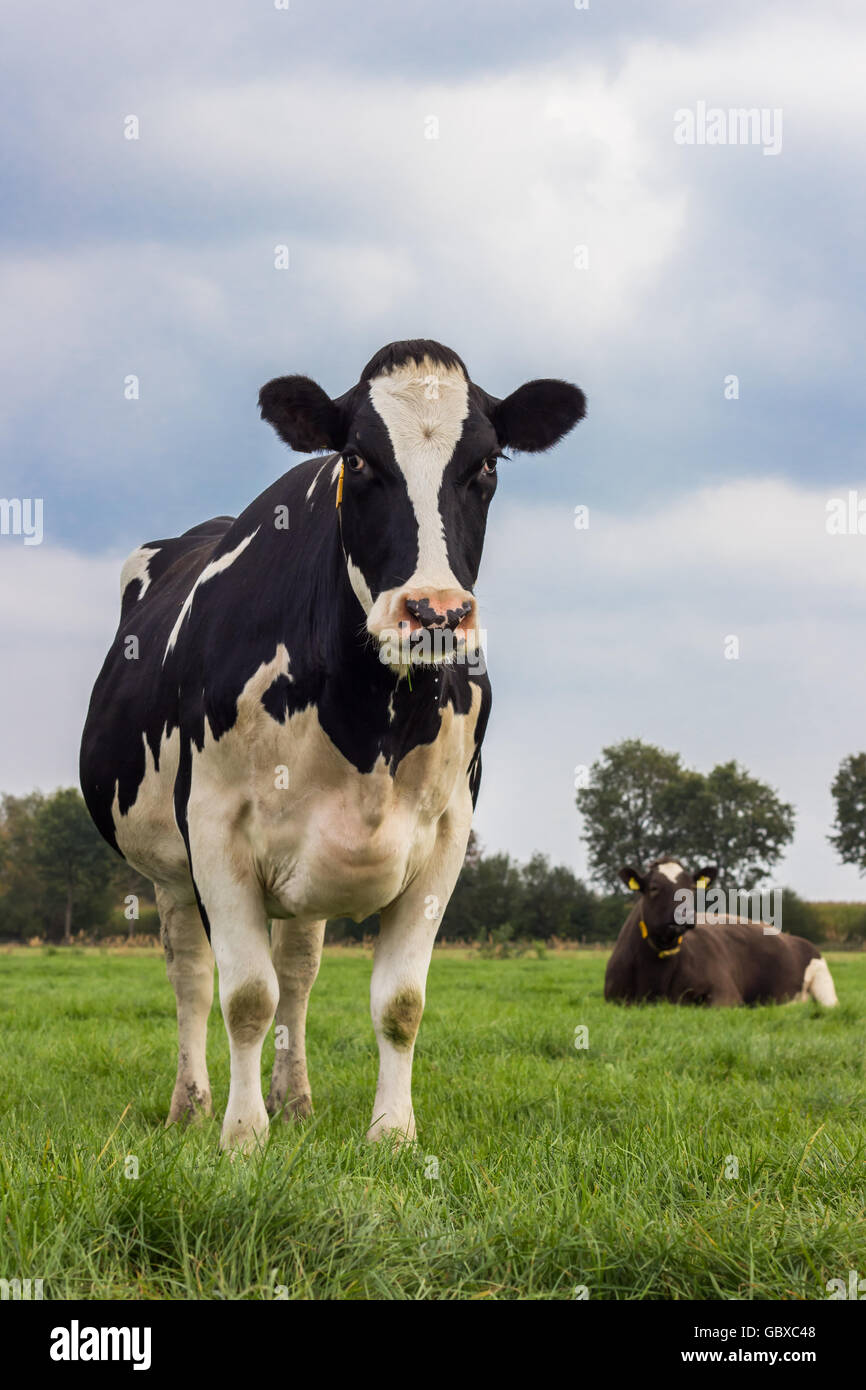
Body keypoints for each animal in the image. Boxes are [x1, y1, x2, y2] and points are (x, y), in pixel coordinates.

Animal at [80, 339, 586, 1151]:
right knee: (193, 978)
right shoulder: (215, 829)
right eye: (357, 458)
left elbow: (398, 1002)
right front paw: (242, 1136)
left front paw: (392, 1134)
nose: (434, 612)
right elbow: (245, 996)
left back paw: (295, 1099)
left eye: (487, 463)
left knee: (298, 971)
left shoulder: (446, 834)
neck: (371, 719)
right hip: (167, 867)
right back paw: (191, 1105)